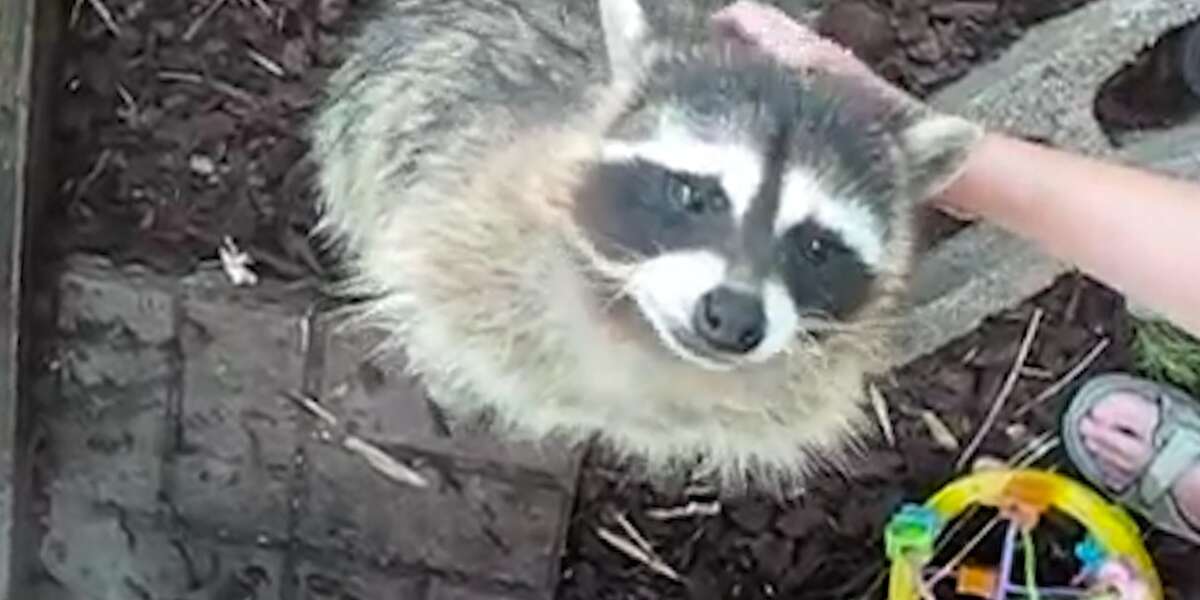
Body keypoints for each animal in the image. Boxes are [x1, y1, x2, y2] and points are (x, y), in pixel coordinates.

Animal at [312, 0, 982, 492]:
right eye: (693, 195)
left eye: (815, 247)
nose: (733, 316)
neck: (639, 336)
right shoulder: (459, 209)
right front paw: (452, 381)